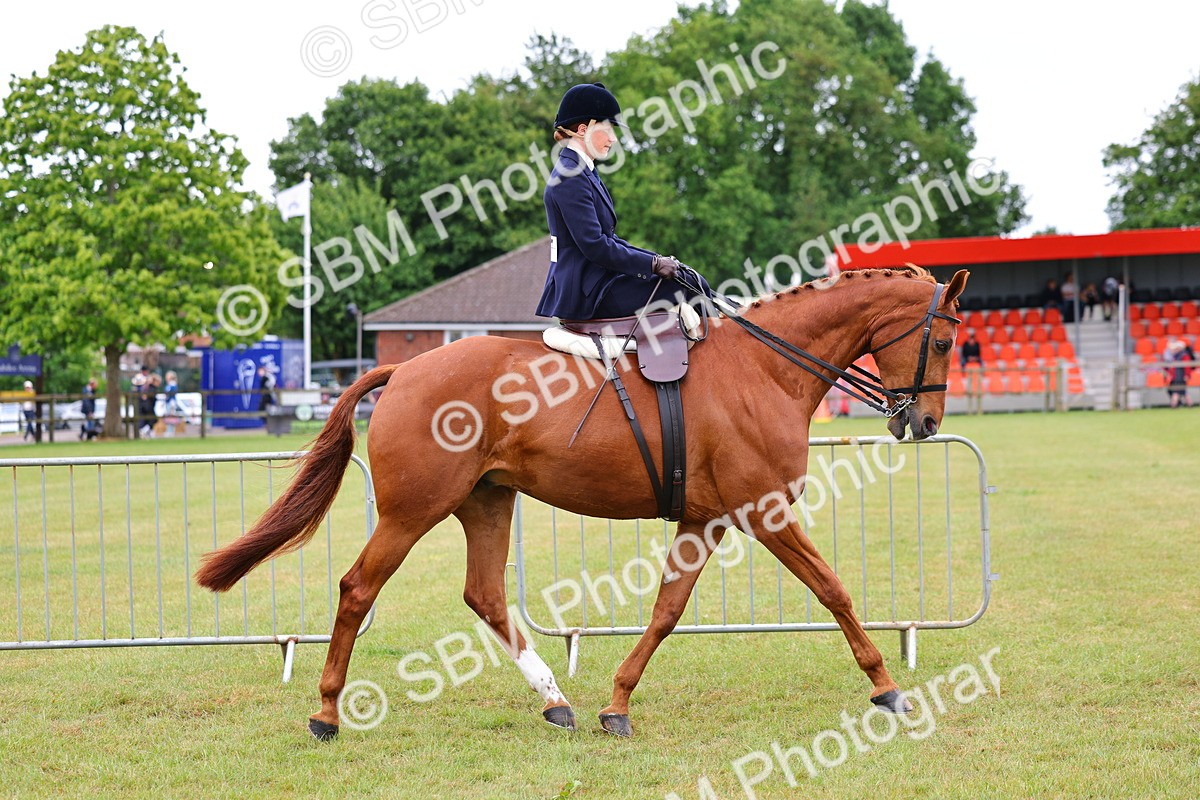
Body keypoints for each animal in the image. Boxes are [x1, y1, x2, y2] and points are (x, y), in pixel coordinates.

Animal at [196, 265, 968, 740]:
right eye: (946, 339)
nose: (926, 424)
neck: (765, 366)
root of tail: (404, 367)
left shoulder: (704, 521)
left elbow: (665, 611)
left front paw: (616, 703)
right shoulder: (766, 513)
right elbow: (833, 590)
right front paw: (887, 688)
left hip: (486, 503)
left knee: (485, 595)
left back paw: (555, 701)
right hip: (413, 512)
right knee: (358, 589)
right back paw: (327, 713)